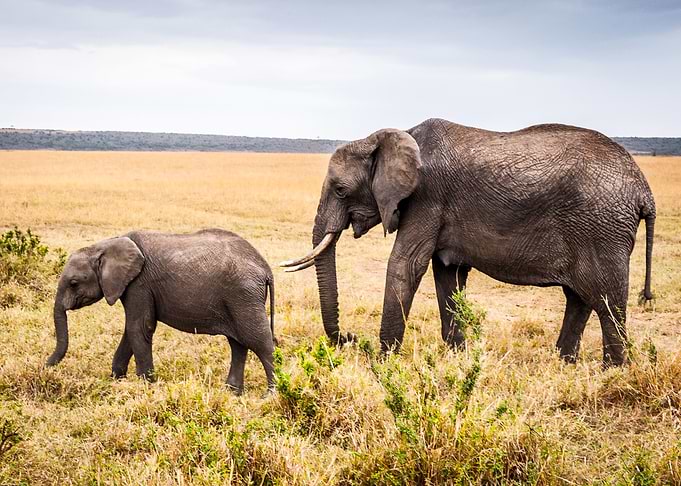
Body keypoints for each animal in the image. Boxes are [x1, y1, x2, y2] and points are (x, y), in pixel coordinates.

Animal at [46, 229, 276, 393]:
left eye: (74, 283)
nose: (46, 366)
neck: (105, 244)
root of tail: (266, 269)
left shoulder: (139, 284)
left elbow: (139, 327)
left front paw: (146, 387)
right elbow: (131, 330)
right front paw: (116, 380)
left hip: (243, 296)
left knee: (260, 342)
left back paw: (271, 394)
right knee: (238, 344)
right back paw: (231, 393)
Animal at [282, 118, 655, 366]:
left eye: (340, 190)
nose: (348, 338)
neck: (388, 137)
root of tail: (643, 191)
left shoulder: (427, 196)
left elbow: (406, 265)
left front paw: (384, 362)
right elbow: (447, 275)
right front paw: (457, 357)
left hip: (602, 230)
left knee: (606, 299)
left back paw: (613, 372)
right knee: (579, 297)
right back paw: (565, 363)